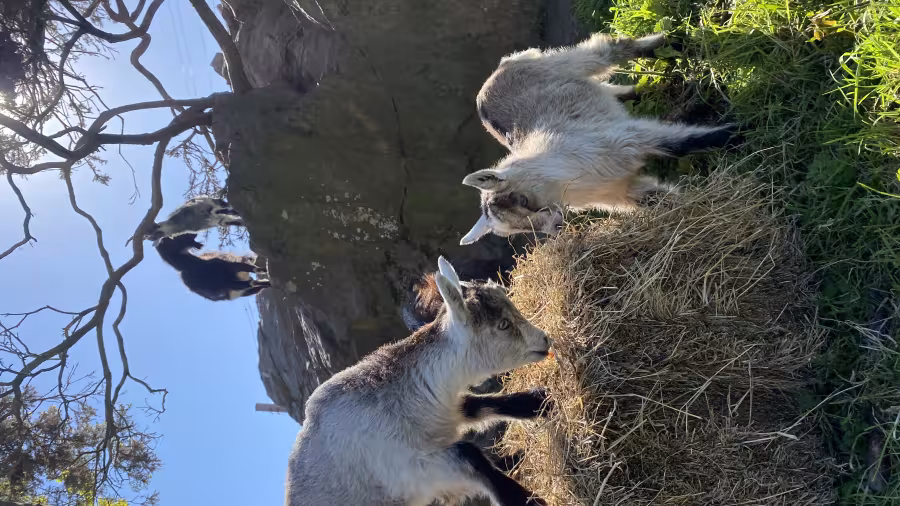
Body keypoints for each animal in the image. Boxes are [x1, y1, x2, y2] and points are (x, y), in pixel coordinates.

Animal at [285, 257, 552, 506]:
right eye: (503, 324)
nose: (545, 339)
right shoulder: (412, 470)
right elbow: (468, 453)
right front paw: (527, 501)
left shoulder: (445, 410)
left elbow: (478, 405)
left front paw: (538, 401)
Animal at [460, 32, 738, 244]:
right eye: (517, 229)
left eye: (521, 199)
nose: (556, 227)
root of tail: (497, 71)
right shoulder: (621, 191)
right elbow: (662, 199)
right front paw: (698, 205)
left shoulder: (627, 139)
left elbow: (682, 143)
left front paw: (738, 132)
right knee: (616, 89)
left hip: (562, 64)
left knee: (608, 49)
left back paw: (676, 43)